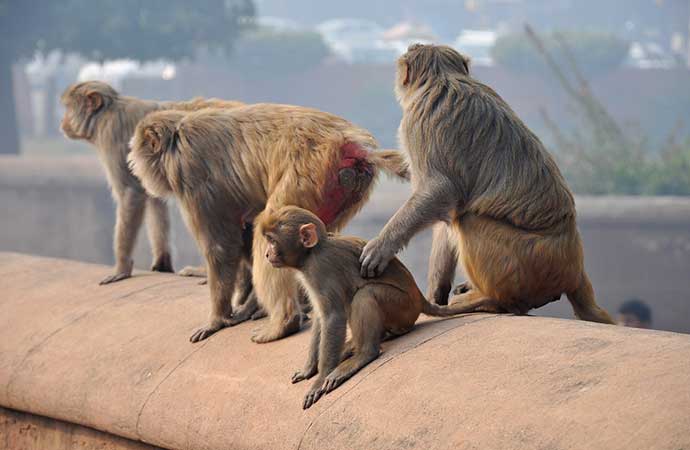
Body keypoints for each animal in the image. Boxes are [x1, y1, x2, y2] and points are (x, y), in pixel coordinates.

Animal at [59, 80, 247, 284]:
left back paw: (207, 271)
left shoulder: (112, 136)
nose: (63, 122)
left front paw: (121, 268)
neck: (106, 113)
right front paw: (162, 262)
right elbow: (154, 199)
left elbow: (130, 193)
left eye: (68, 107)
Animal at [127, 105, 408, 342]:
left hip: (308, 171)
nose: (133, 164)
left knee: (270, 224)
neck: (178, 136)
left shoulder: (190, 175)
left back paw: (284, 322)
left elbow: (221, 247)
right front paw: (246, 304)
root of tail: (351, 143)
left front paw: (216, 320)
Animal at [260, 206, 472, 410]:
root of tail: (419, 299)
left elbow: (333, 316)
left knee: (365, 294)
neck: (311, 253)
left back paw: (363, 354)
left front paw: (319, 379)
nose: (267, 254)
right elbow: (321, 317)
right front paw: (309, 369)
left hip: (402, 306)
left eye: (272, 240)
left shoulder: (320, 268)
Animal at [354, 44, 612, 326]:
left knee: (468, 220)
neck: (442, 76)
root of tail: (574, 270)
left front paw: (381, 246)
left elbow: (439, 189)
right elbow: (442, 199)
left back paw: (494, 300)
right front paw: (368, 153)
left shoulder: (418, 120)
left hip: (530, 263)